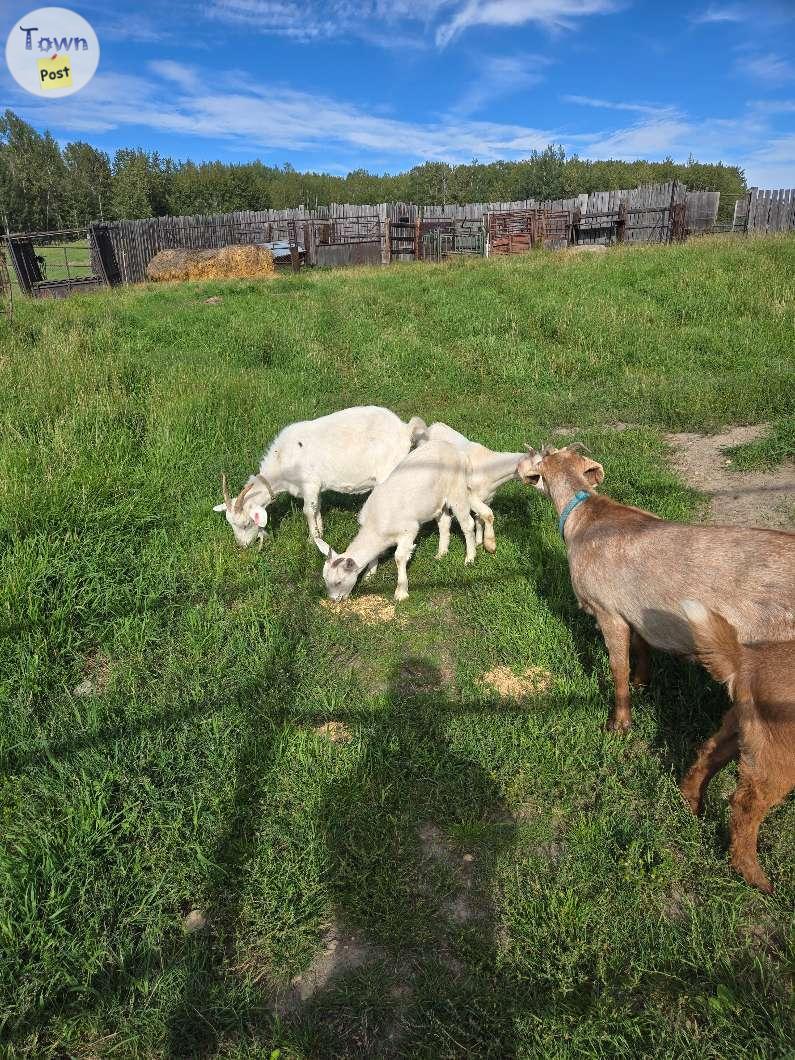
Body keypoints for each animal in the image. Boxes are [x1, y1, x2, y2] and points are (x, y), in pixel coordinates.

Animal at [209, 404, 423, 546]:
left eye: (246, 524)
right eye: (231, 524)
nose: (243, 546)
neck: (283, 460)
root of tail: (404, 428)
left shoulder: (309, 483)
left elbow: (308, 511)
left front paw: (312, 540)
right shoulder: (315, 487)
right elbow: (317, 508)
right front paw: (320, 532)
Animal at [315, 438, 479, 602]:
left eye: (338, 582)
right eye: (325, 579)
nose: (333, 600)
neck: (375, 526)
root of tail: (458, 451)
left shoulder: (409, 530)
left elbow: (399, 557)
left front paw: (401, 592)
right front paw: (370, 575)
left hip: (457, 489)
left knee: (467, 523)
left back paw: (469, 559)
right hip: (436, 501)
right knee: (444, 522)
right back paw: (441, 554)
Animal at [419, 421, 525, 555]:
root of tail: (435, 425)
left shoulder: (488, 498)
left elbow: (480, 519)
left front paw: (478, 541)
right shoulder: (469, 496)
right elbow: (488, 515)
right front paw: (489, 544)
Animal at [519, 443, 795, 733]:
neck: (583, 518)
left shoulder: (607, 610)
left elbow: (618, 668)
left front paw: (620, 724)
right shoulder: (632, 607)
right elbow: (641, 646)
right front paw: (641, 683)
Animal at [678, 602, 795, 890]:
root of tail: (749, 661)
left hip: (740, 732)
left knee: (706, 757)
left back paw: (690, 807)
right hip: (780, 760)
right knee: (745, 806)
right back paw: (753, 876)